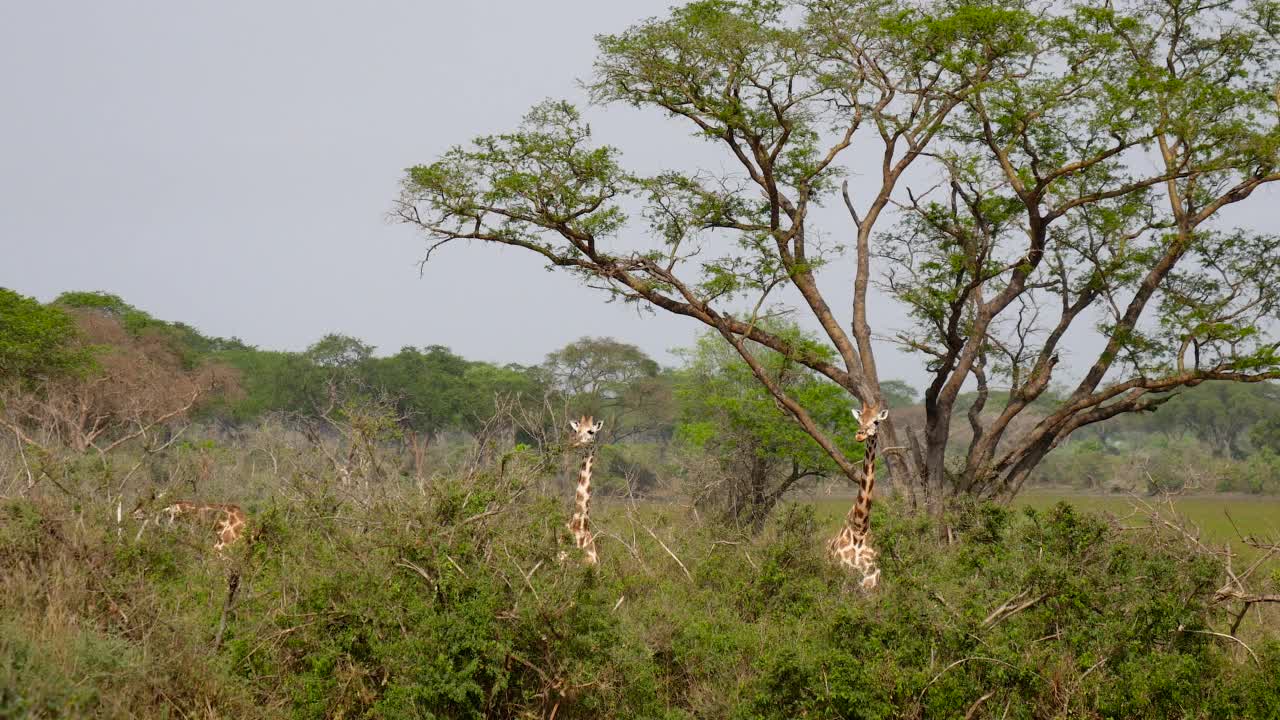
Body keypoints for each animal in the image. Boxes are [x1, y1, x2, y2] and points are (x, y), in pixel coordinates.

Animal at [824, 399, 885, 591]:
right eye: (859, 420)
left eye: (876, 421)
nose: (860, 435)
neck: (859, 527)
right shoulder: (843, 577)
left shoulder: (871, 580)